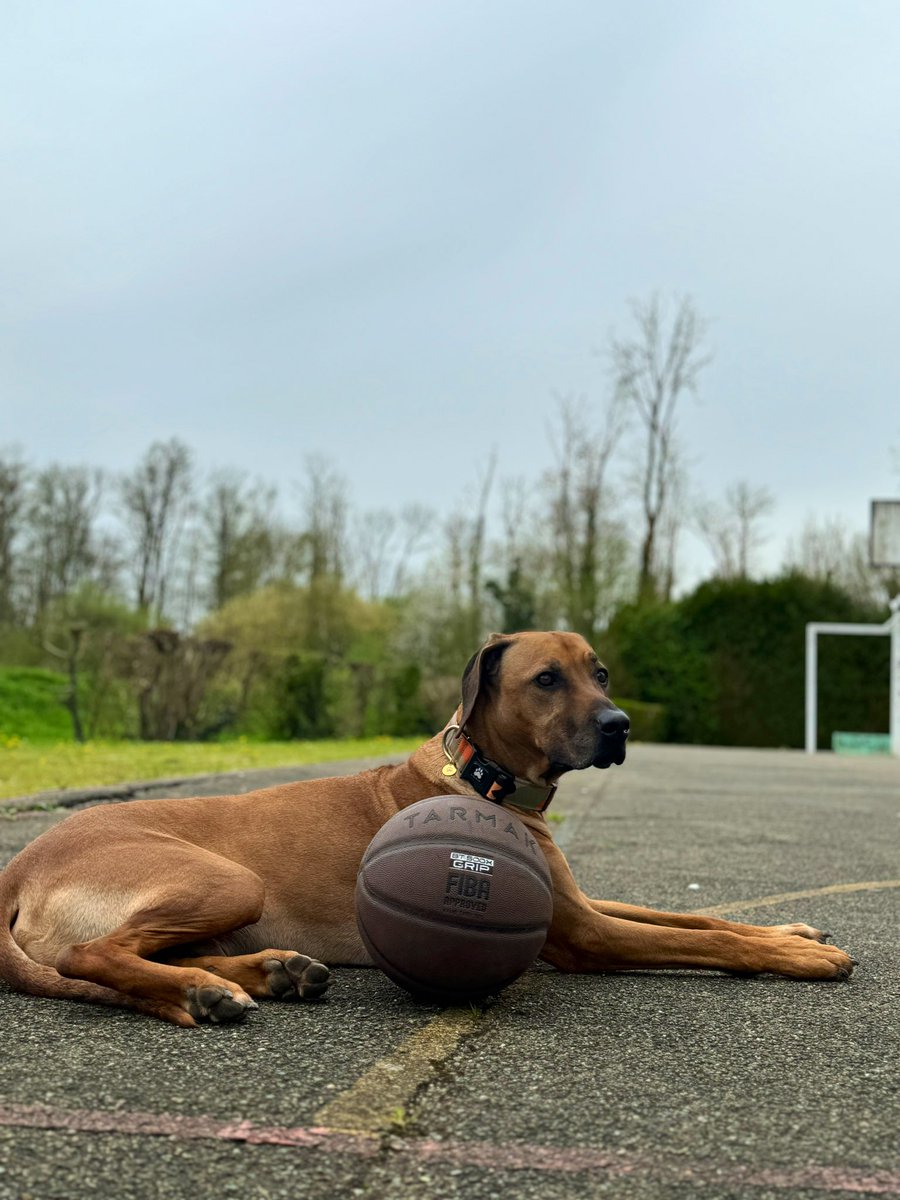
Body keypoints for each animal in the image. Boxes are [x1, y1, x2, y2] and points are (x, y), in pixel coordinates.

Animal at [0, 633, 854, 1027]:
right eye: (547, 679)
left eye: (601, 673)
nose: (621, 726)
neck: (487, 777)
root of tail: (22, 862)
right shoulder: (583, 936)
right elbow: (700, 937)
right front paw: (796, 957)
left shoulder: (581, 905)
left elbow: (701, 916)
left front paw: (793, 931)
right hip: (223, 877)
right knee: (88, 955)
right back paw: (206, 993)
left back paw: (265, 974)